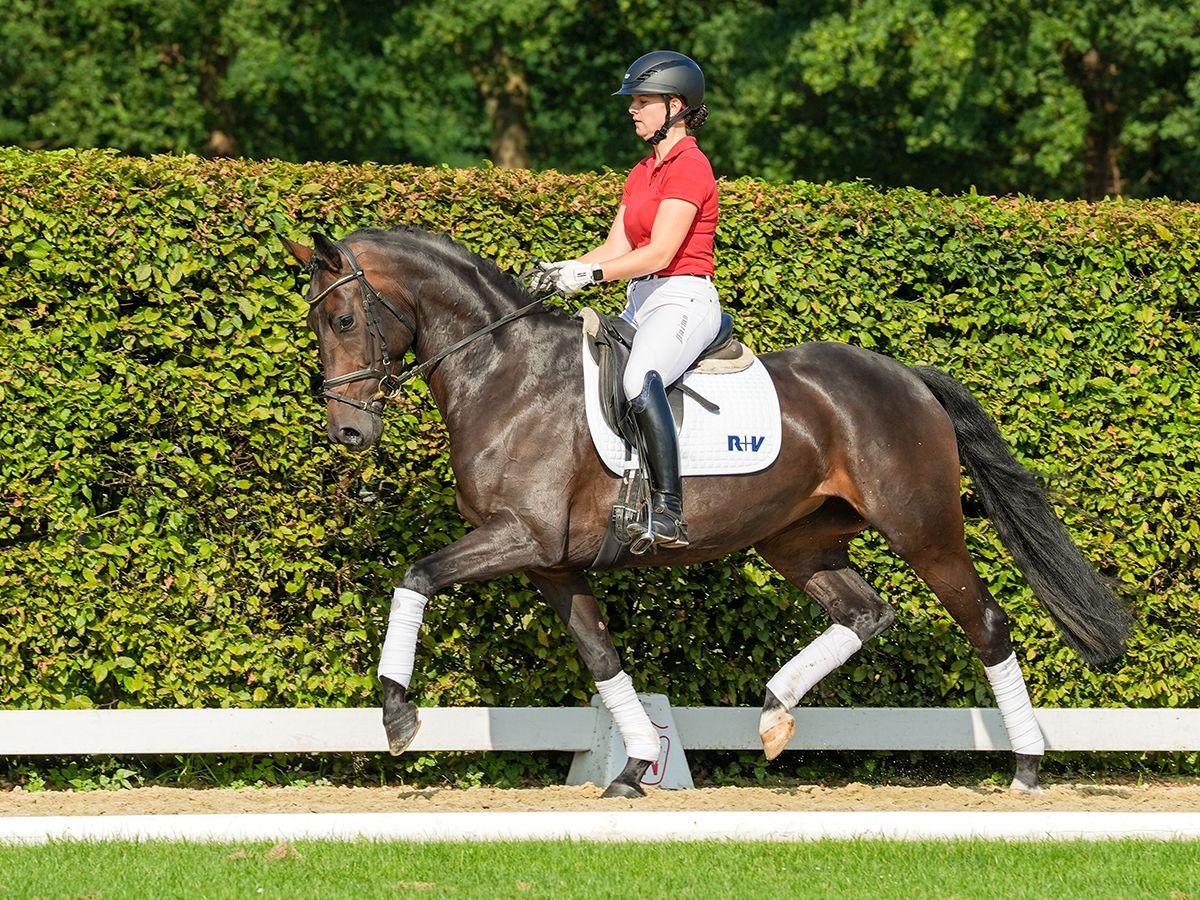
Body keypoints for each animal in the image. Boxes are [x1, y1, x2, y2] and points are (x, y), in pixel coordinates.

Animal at [283, 229, 1132, 801]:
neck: (505, 374)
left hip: (923, 530)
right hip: (799, 541)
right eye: (318, 327)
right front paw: (633, 768)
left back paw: (1026, 769)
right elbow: (602, 658)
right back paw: (775, 713)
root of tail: (907, 376)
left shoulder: (518, 537)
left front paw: (398, 716)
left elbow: (416, 575)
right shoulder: (551, 563)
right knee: (866, 612)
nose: (349, 434)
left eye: (346, 321)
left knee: (986, 623)